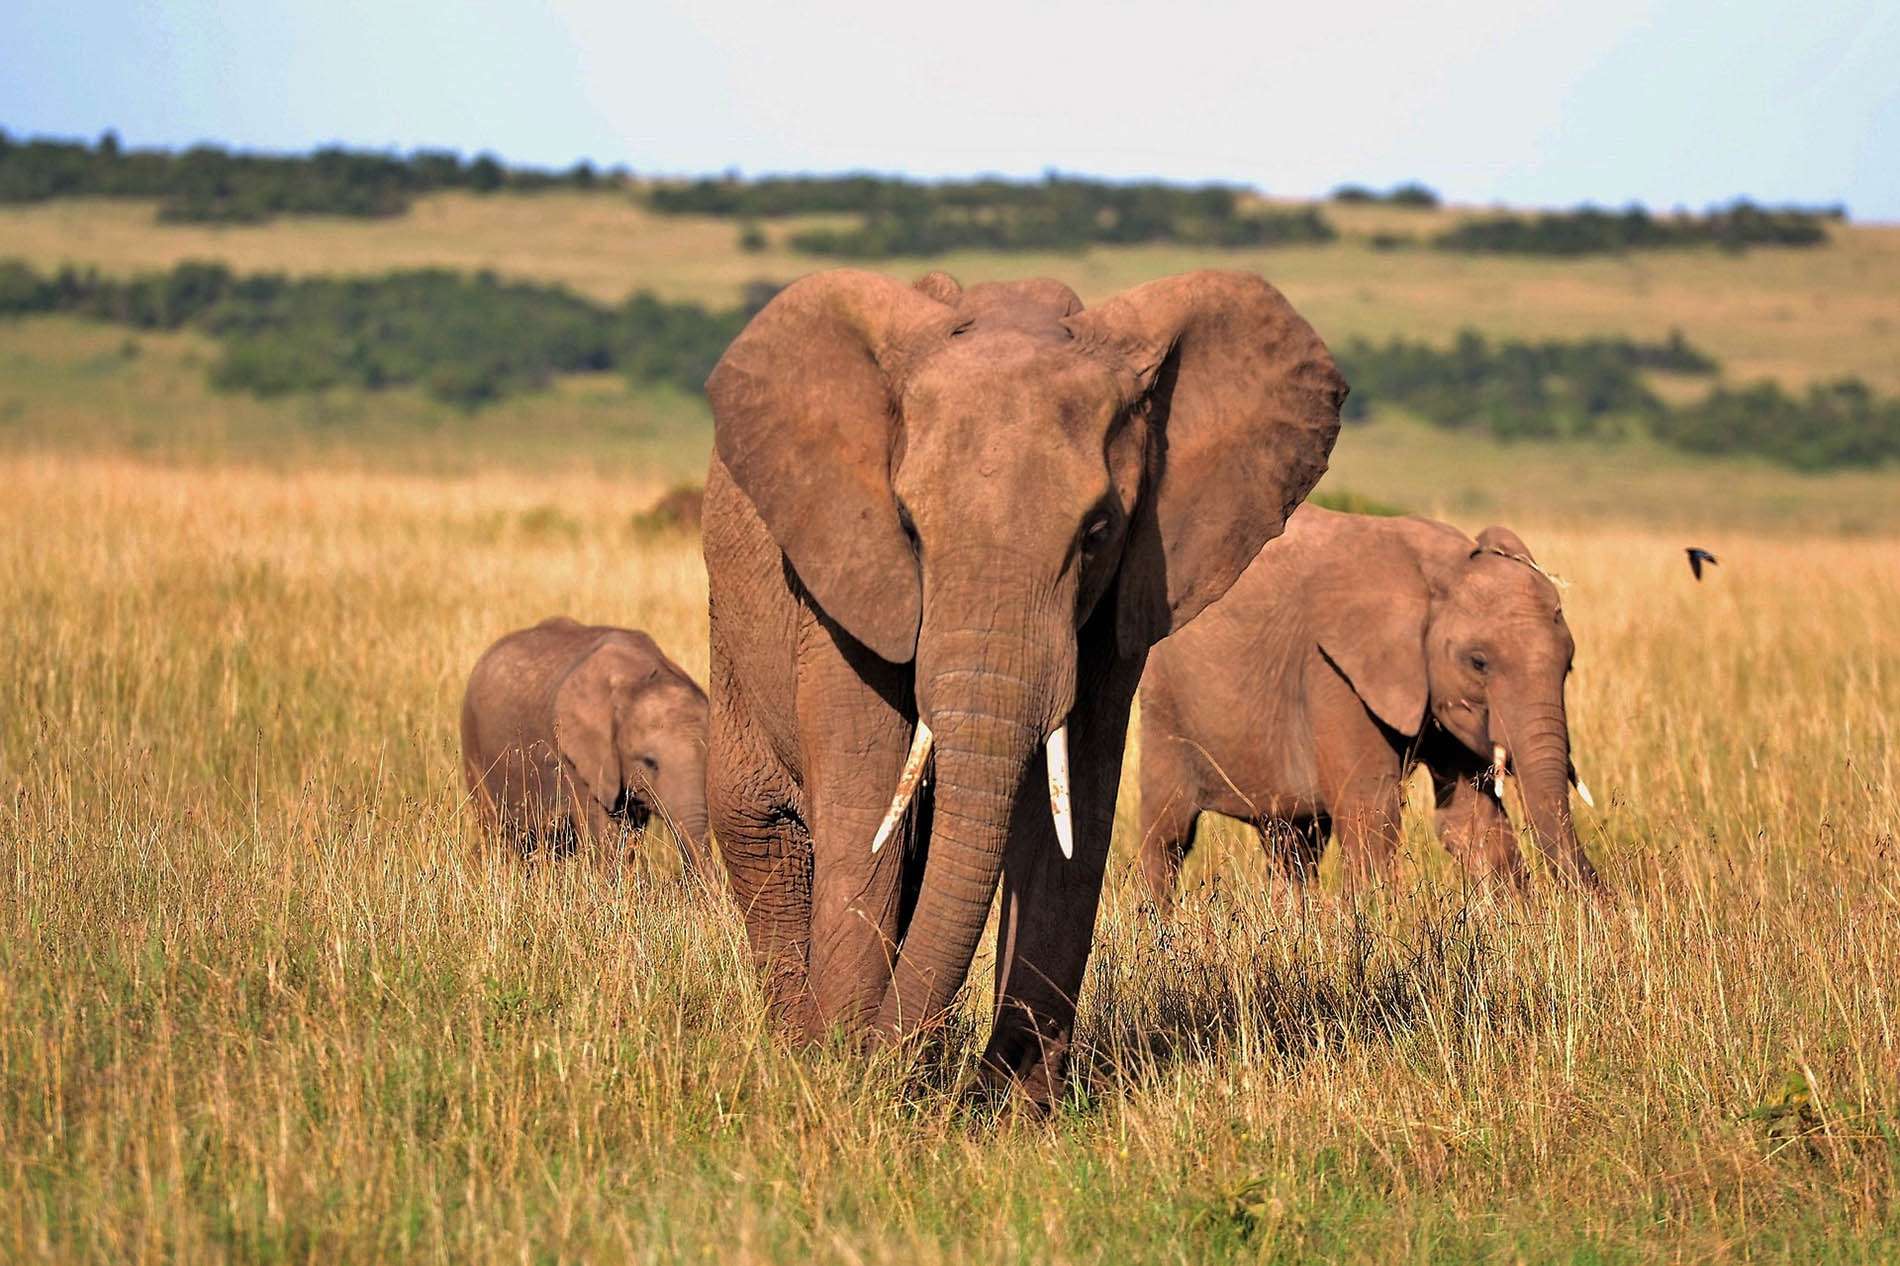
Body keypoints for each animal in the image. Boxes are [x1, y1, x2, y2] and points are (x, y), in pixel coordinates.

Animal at [703, 266, 1352, 1102]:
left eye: (1098, 532)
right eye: (908, 527)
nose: (878, 1059)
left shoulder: (1120, 602)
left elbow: (1072, 814)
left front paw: (1009, 1107)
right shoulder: (844, 575)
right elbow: (865, 800)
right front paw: (841, 1076)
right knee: (765, 831)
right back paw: (796, 1047)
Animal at [1132, 505, 1596, 908]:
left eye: (1570, 665)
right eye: (1478, 662)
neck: (1438, 570)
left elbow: (1471, 821)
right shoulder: (1332, 671)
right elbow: (1371, 812)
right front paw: (1375, 922)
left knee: (1292, 841)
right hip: (1164, 700)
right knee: (1168, 834)